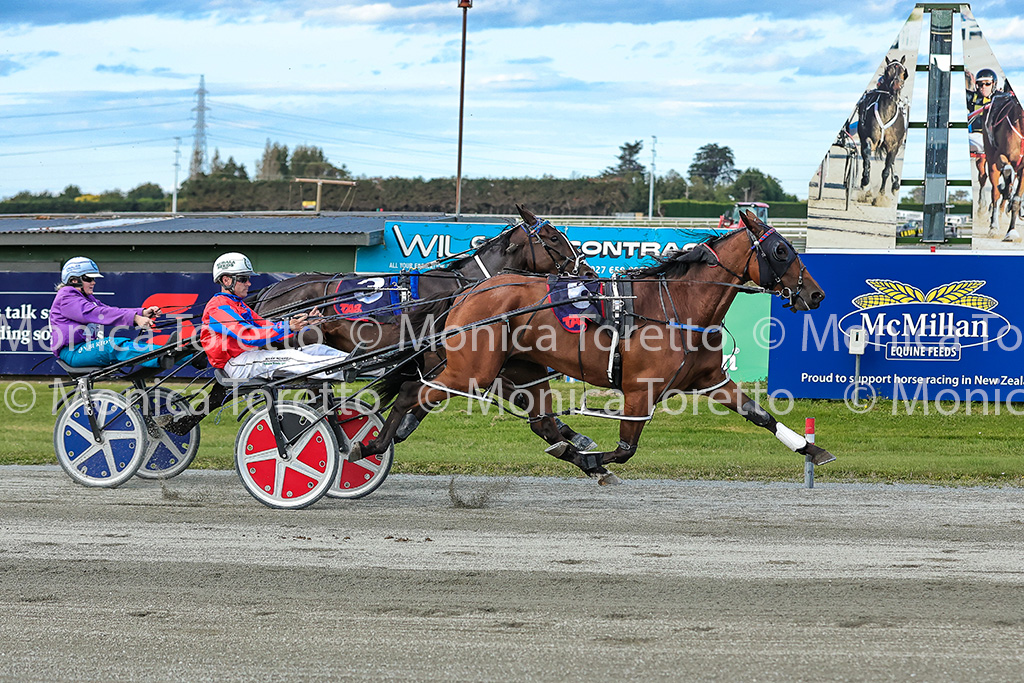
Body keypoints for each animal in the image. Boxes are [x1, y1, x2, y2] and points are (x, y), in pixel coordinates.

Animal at [353, 210, 835, 481]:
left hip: (521, 371)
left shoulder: (711, 380)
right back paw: (369, 447)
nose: (815, 295)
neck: (677, 306)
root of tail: (469, 291)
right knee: (413, 392)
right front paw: (593, 458)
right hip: (473, 370)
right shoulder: (641, 389)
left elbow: (760, 415)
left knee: (539, 422)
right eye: (782, 251)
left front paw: (812, 449)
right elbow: (625, 450)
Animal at [857, 56, 908, 195]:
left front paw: (881, 193)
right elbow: (867, 156)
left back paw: (895, 183)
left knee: (891, 162)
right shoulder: (869, 138)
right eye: (887, 71)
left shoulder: (893, 145)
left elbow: (886, 169)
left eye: (903, 72)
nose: (896, 86)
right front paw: (865, 182)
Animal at [982, 89, 1024, 241]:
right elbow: (1006, 168)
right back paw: (994, 226)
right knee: (995, 193)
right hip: (990, 159)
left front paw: (1011, 231)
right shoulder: (1000, 156)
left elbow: (1017, 199)